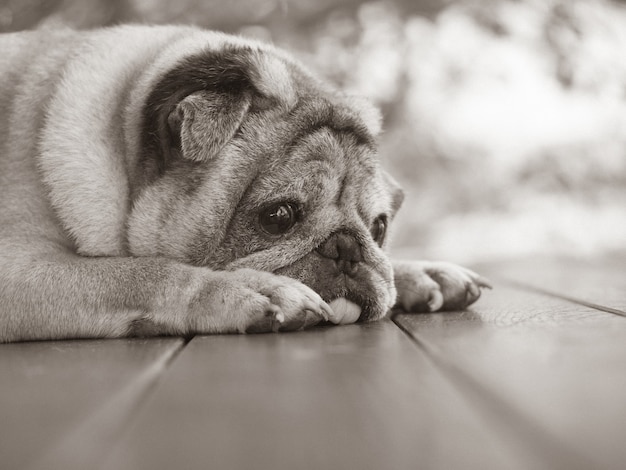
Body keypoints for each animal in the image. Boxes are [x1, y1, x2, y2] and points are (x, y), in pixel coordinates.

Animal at [0, 24, 488, 342]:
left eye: (380, 228)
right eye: (279, 216)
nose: (346, 248)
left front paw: (419, 272)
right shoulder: (18, 269)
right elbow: (137, 272)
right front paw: (245, 289)